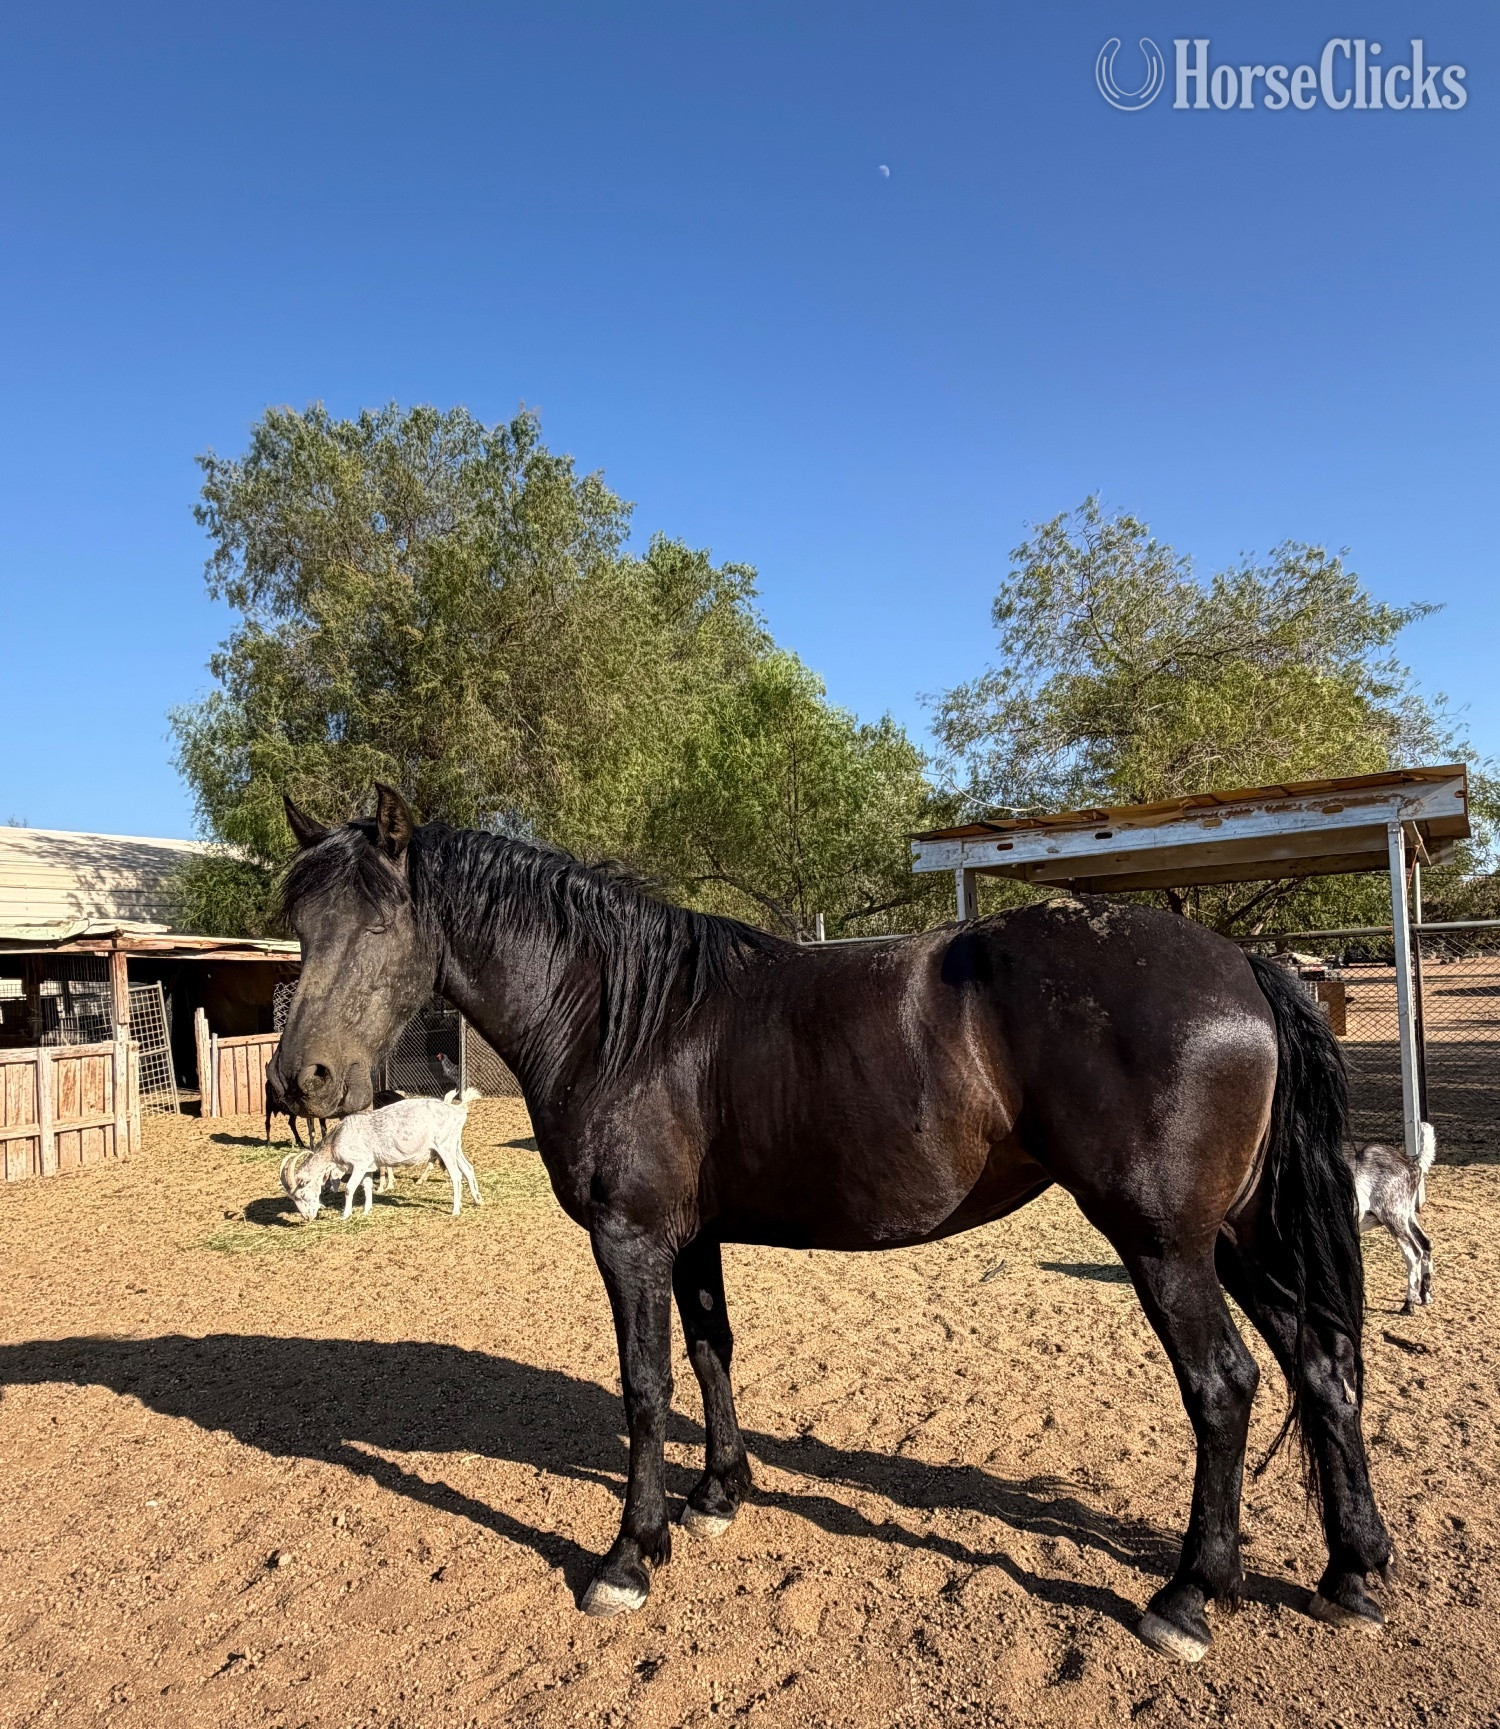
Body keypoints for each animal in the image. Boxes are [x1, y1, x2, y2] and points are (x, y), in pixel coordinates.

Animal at [268, 786, 1393, 1663]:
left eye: (379, 925)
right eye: (300, 928)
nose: (299, 1080)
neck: (625, 1016)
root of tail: (1241, 965)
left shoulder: (629, 1238)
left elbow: (645, 1387)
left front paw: (630, 1555)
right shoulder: (692, 1237)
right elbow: (712, 1353)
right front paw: (718, 1495)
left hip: (1166, 1245)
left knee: (1226, 1386)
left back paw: (1191, 1595)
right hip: (1239, 1235)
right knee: (1321, 1363)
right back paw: (1353, 1571)